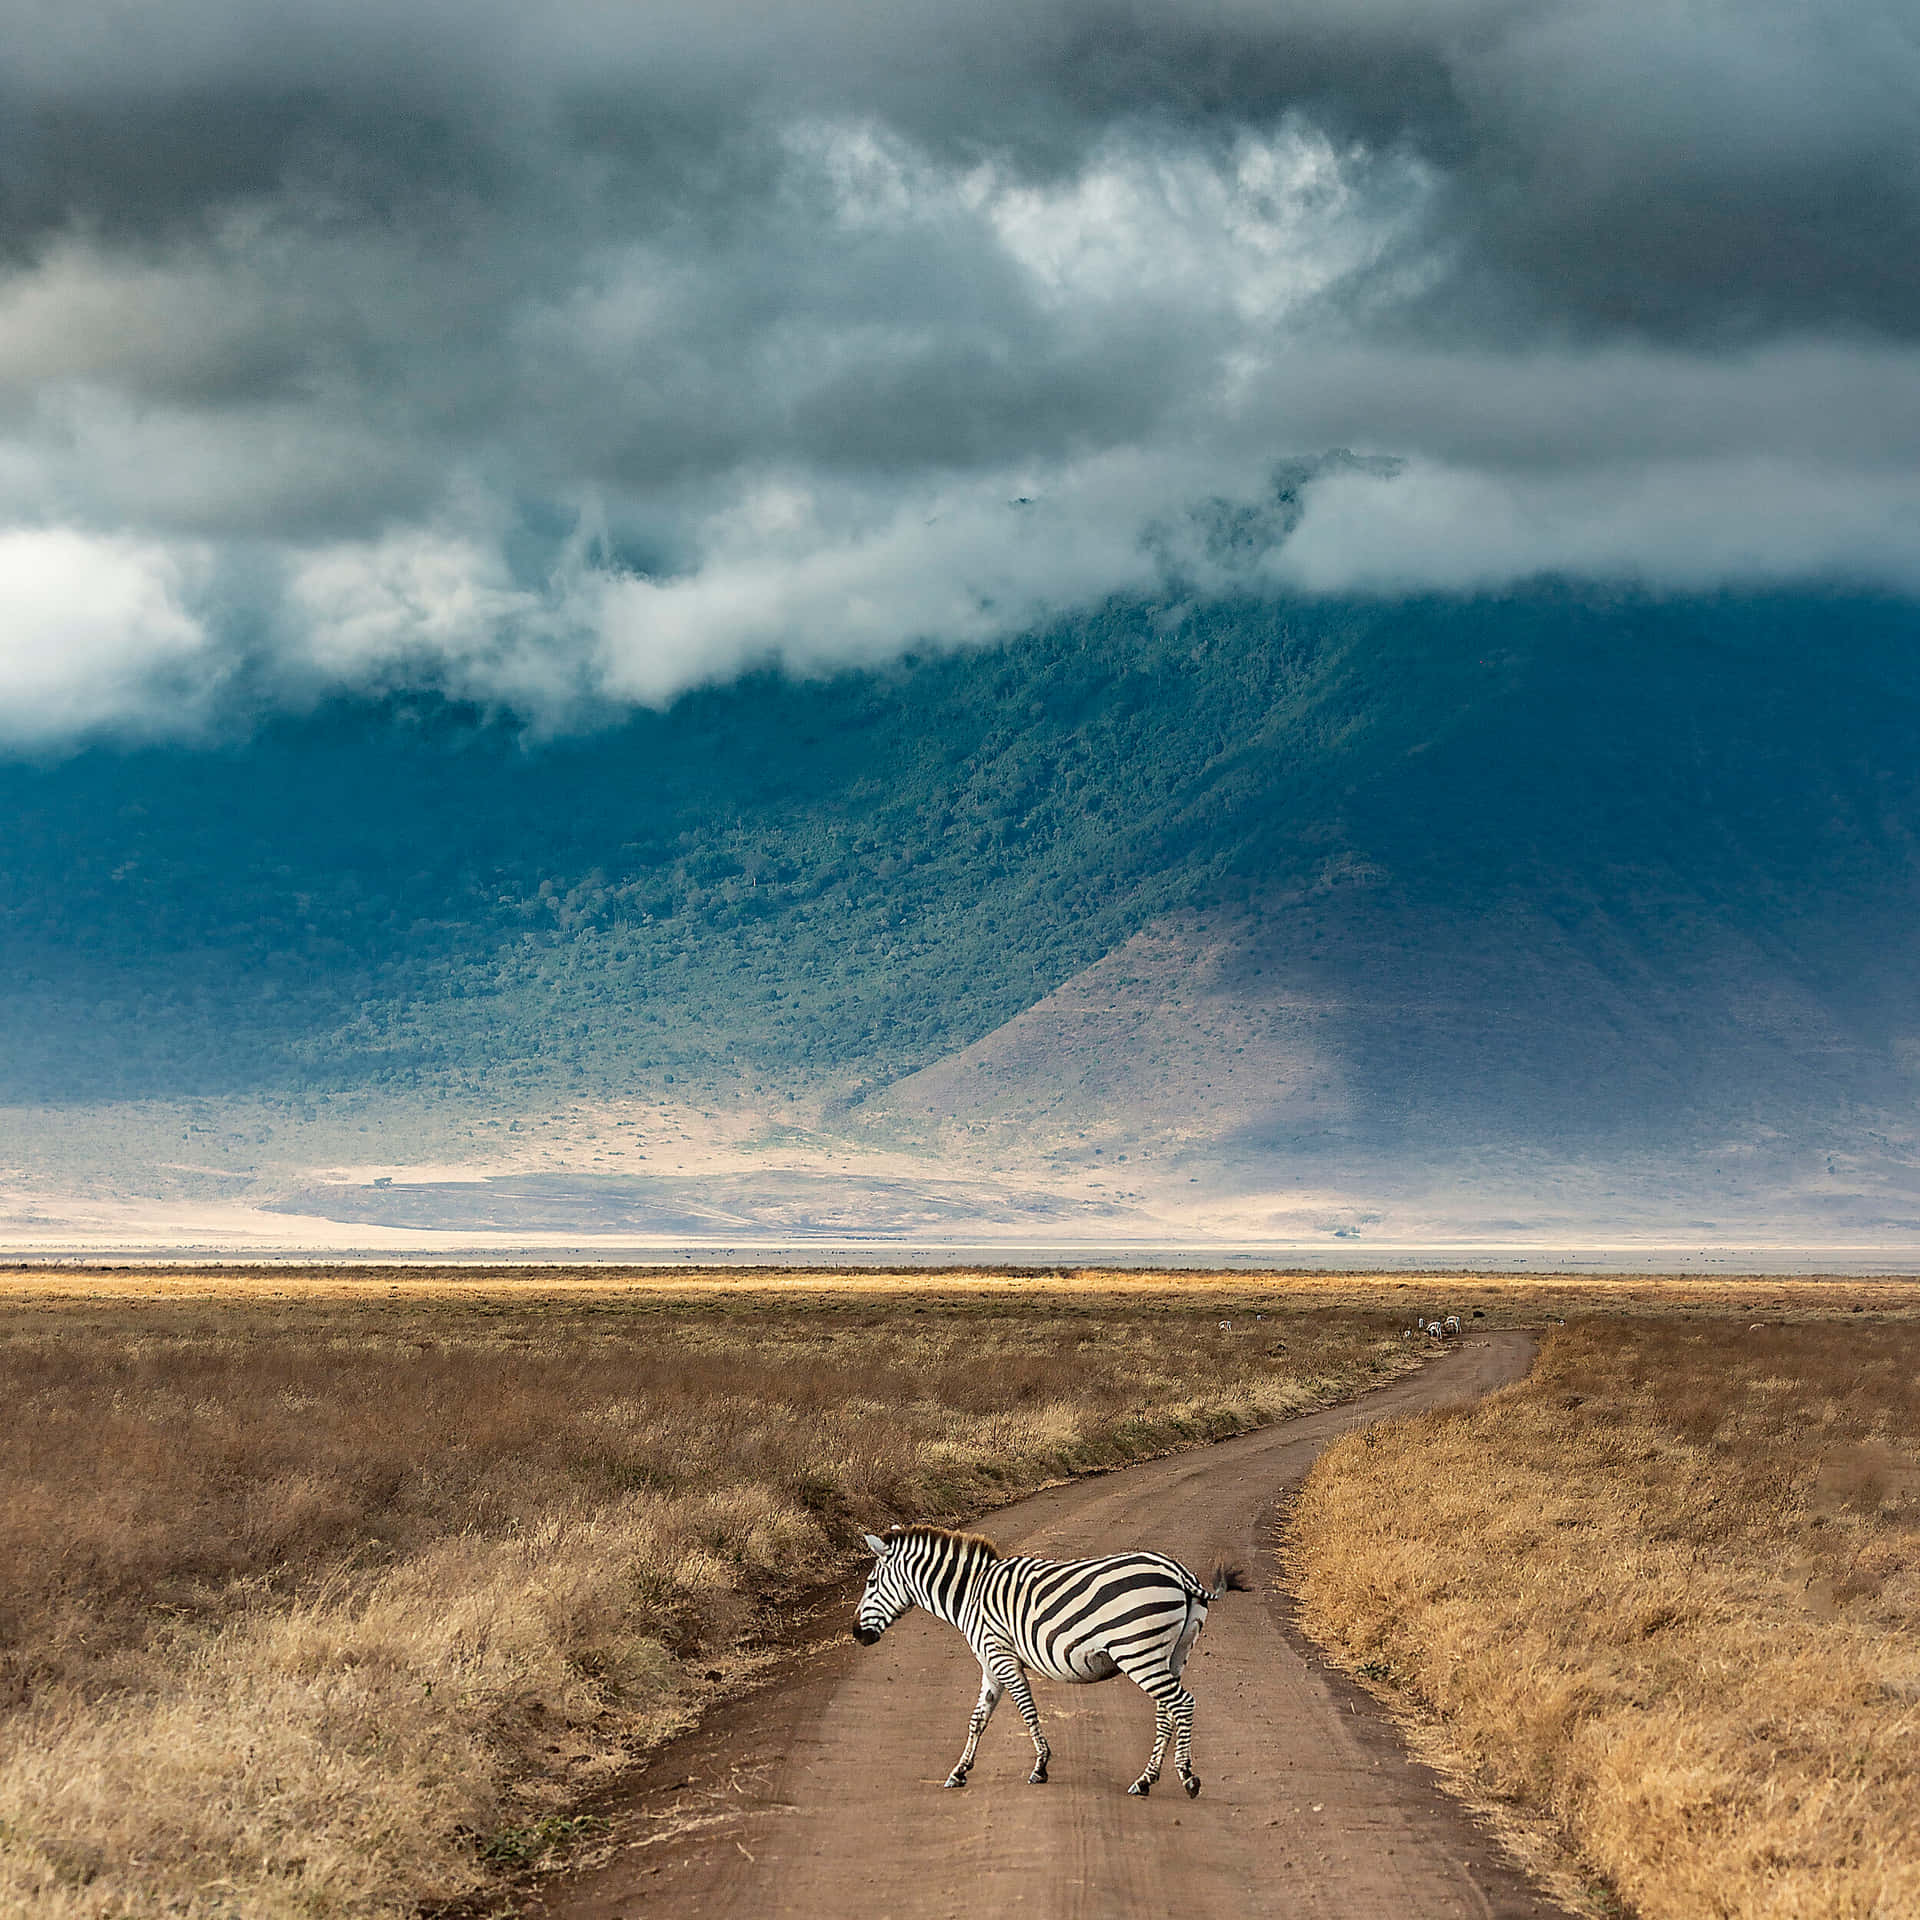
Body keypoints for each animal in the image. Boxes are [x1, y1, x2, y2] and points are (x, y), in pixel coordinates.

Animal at [854, 1524, 1249, 1798]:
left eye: (871, 1582)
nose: (857, 1634)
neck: (970, 1593)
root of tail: (1179, 1572)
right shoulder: (990, 1665)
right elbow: (978, 1719)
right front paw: (959, 1771)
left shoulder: (1002, 1657)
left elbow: (1026, 1710)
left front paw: (1041, 1767)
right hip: (1172, 1654)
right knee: (1166, 1711)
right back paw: (1145, 1780)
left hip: (1138, 1652)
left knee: (1182, 1704)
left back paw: (1187, 1778)